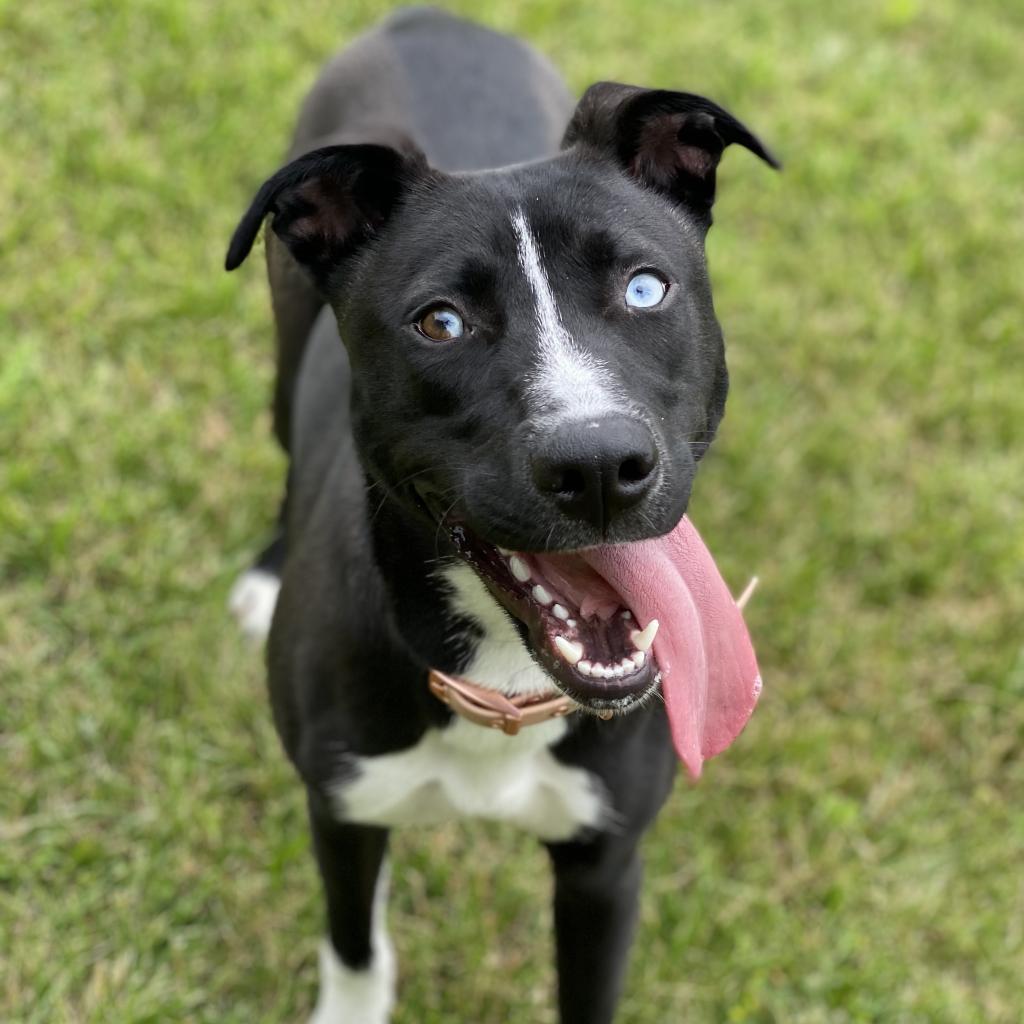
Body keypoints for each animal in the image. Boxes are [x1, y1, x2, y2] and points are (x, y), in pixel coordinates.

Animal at [226, 9, 774, 1024]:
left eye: (646, 288)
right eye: (439, 323)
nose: (599, 466)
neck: (505, 682)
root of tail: (428, 19)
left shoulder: (605, 863)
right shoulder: (342, 810)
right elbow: (355, 951)